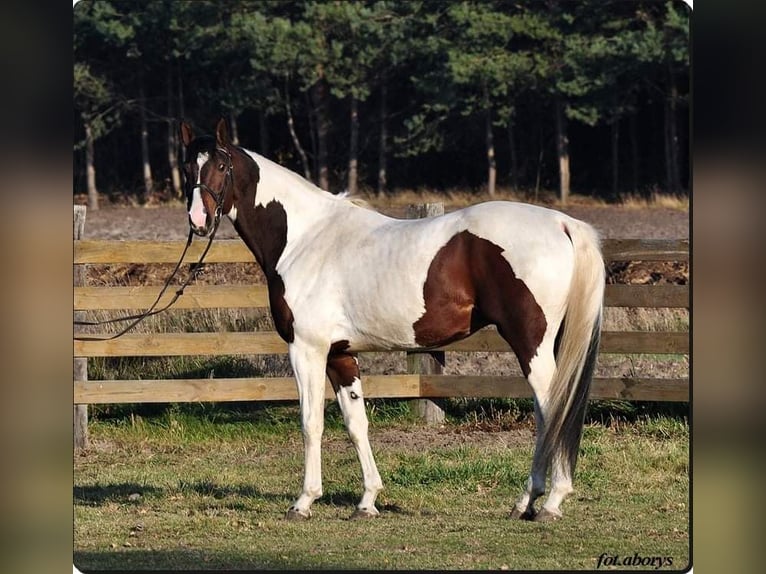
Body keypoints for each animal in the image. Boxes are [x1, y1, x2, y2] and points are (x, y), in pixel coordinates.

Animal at [180, 119, 608, 524]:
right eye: (188, 168)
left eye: (221, 166)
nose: (198, 220)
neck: (305, 238)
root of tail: (562, 223)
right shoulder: (340, 355)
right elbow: (356, 423)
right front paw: (367, 501)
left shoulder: (307, 349)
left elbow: (311, 422)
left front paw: (304, 501)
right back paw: (529, 502)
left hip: (529, 343)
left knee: (553, 409)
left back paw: (546, 501)